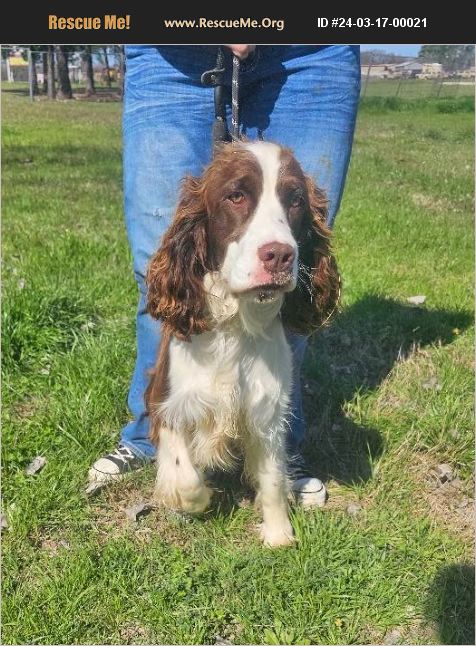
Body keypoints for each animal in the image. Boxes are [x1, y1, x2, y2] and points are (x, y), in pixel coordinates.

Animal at [144, 142, 338, 548]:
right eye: (235, 196)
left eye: (296, 200)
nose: (280, 255)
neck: (234, 328)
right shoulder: (165, 401)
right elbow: (185, 475)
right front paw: (184, 495)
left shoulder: (267, 410)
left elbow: (273, 479)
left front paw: (279, 533)